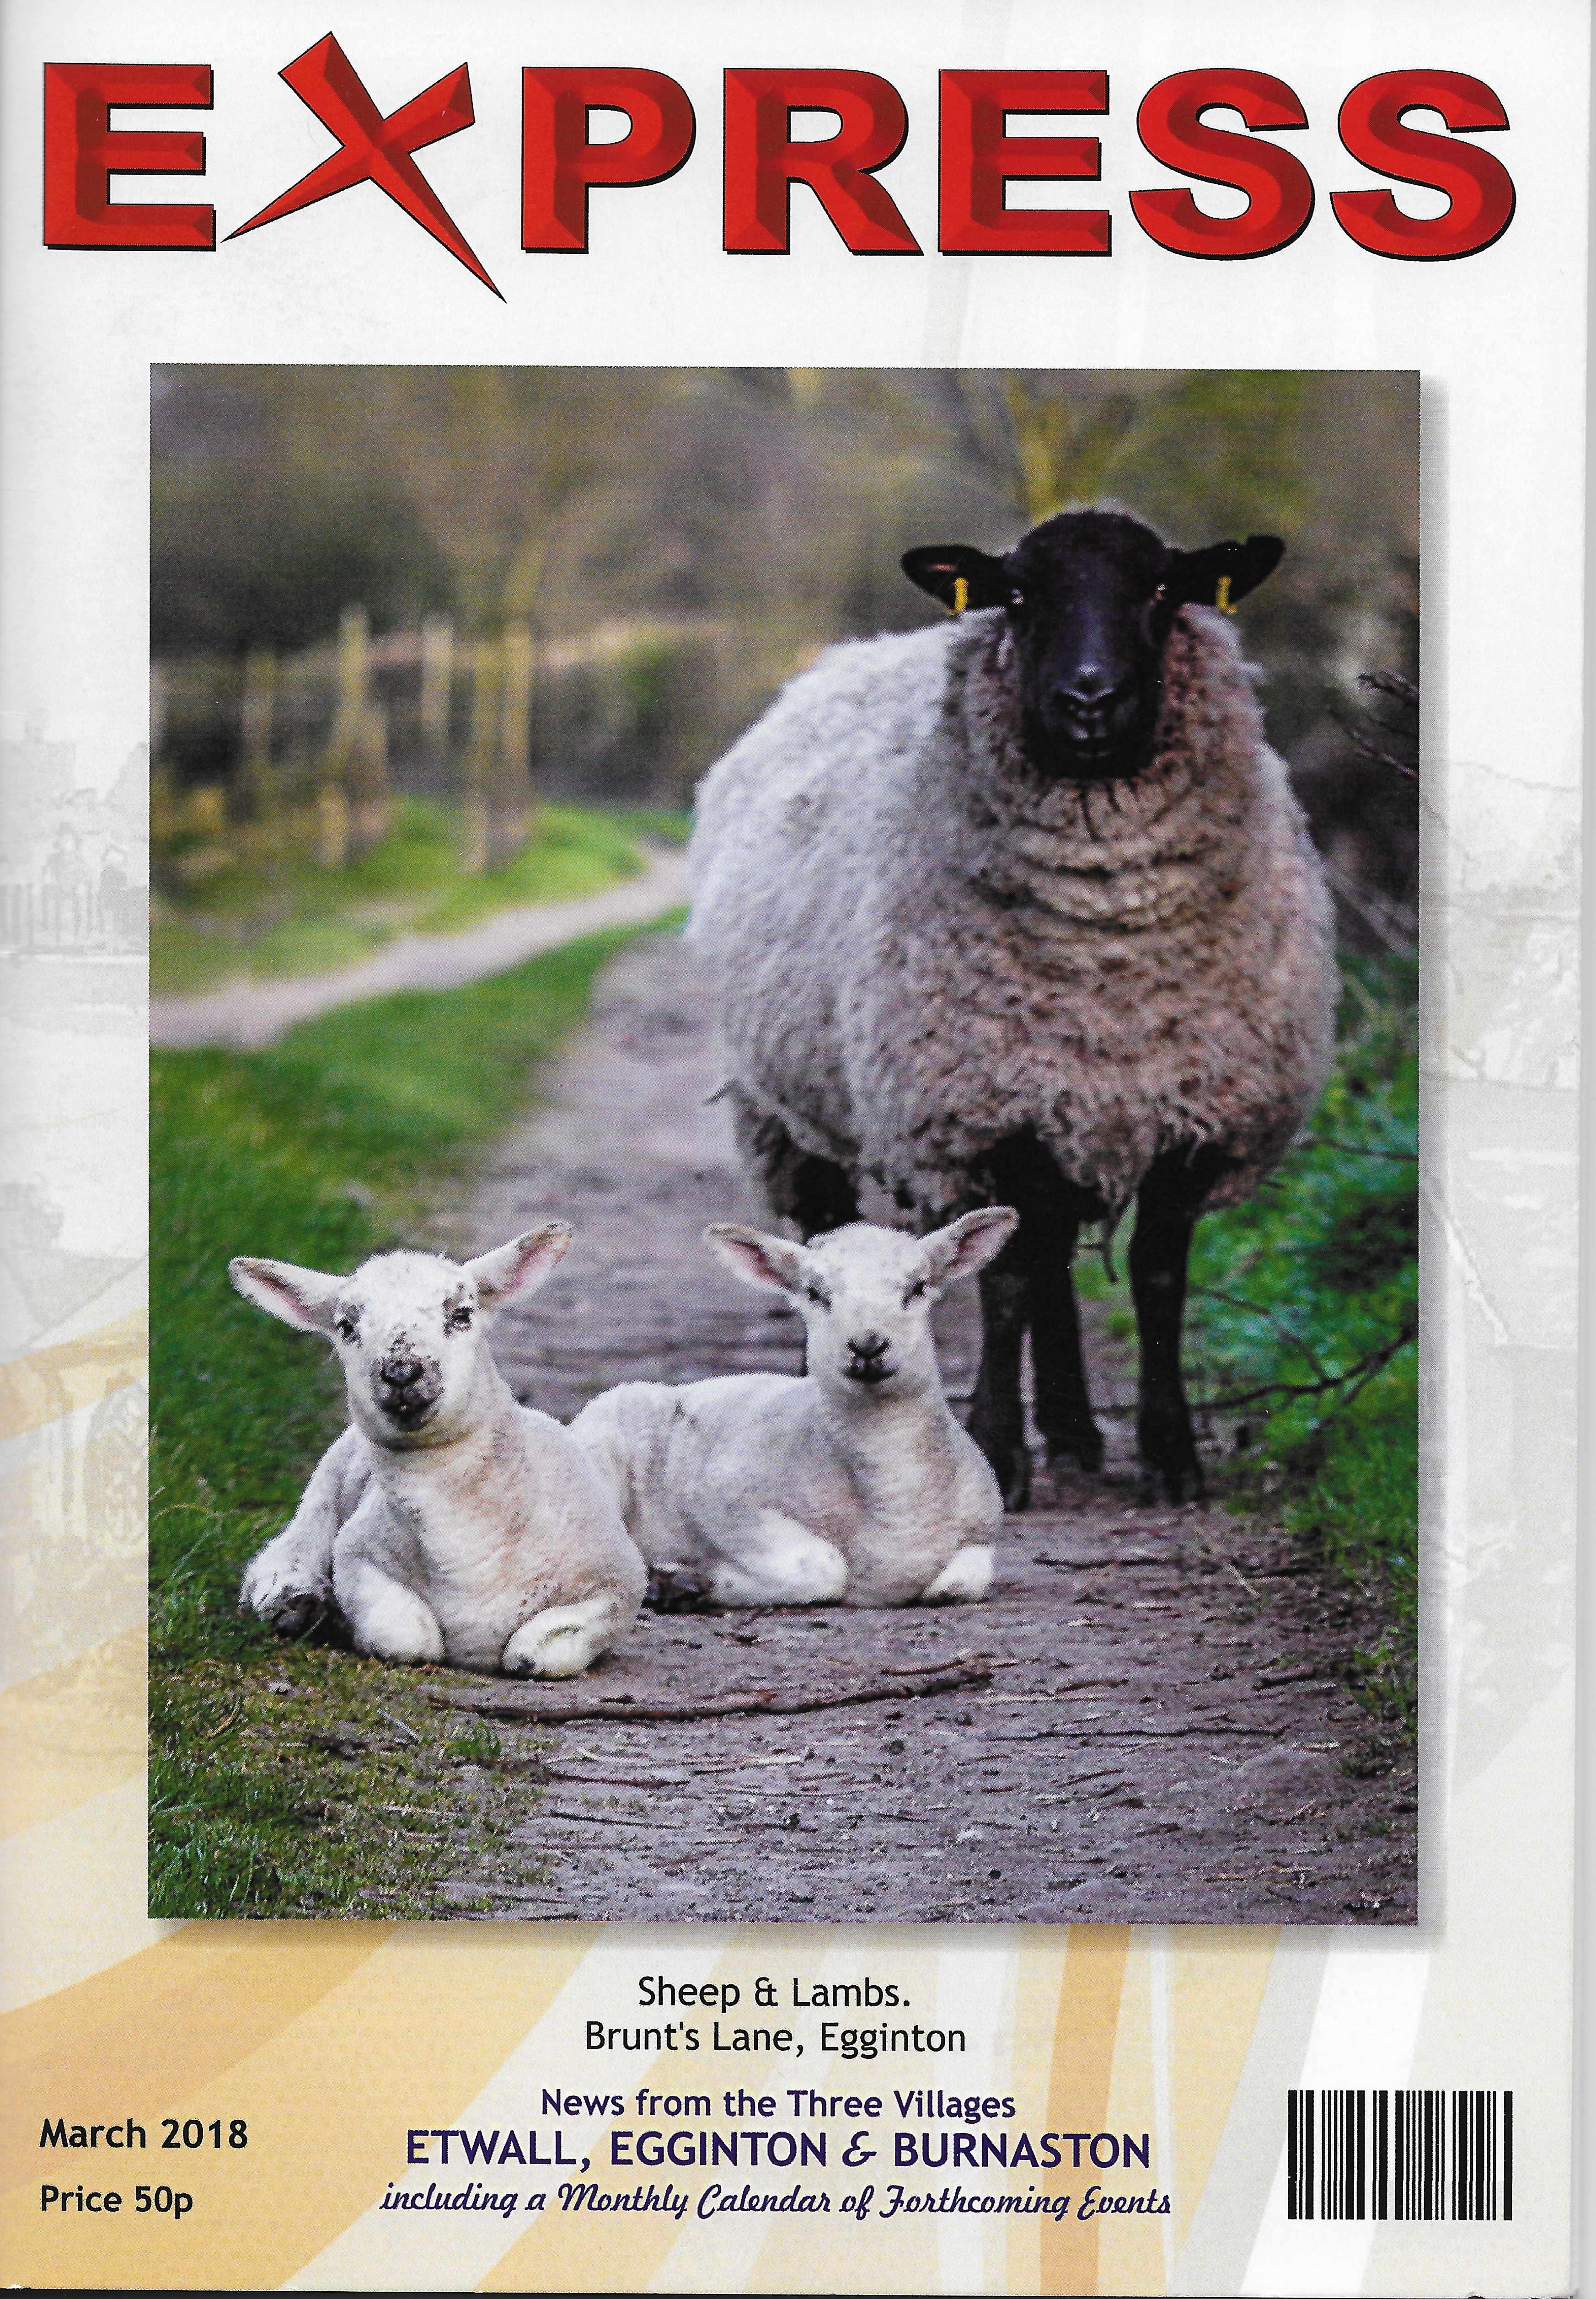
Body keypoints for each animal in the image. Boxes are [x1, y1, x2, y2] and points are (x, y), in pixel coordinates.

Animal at [233, 1225, 646, 1676]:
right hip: (324, 1490)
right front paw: (343, 1619)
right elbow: (407, 1637)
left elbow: (537, 1651)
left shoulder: (619, 1582)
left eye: (462, 1315)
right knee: (284, 1554)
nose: (400, 1373)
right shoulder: (356, 1556)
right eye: (345, 1326)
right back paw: (296, 1601)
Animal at [569, 1209, 1017, 1607]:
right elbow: (823, 1568)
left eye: (918, 1287)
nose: (868, 1345)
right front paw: (701, 1581)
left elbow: (963, 1582)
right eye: (815, 1294)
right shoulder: (723, 1497)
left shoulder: (984, 1530)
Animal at [688, 507, 1338, 1508]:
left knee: (1056, 1254)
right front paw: (998, 1450)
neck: (1106, 946)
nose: (1089, 696)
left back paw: (1074, 1431)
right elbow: (1005, 1287)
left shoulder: (1192, 1111)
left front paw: (1169, 1457)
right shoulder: (984, 1112)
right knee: (833, 1231)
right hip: (783, 1108)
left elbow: (1155, 1274)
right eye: (1021, 595)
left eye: (1161, 589)